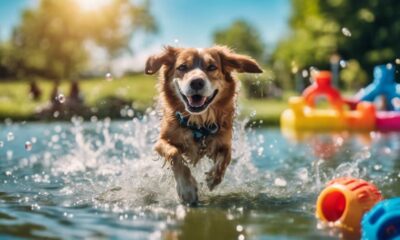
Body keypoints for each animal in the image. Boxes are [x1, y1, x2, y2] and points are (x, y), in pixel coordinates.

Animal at [144, 46, 262, 204]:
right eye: (182, 67)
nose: (196, 82)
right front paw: (187, 189)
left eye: (212, 67)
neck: (198, 123)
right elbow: (174, 153)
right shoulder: (161, 142)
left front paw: (213, 178)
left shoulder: (224, 141)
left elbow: (226, 157)